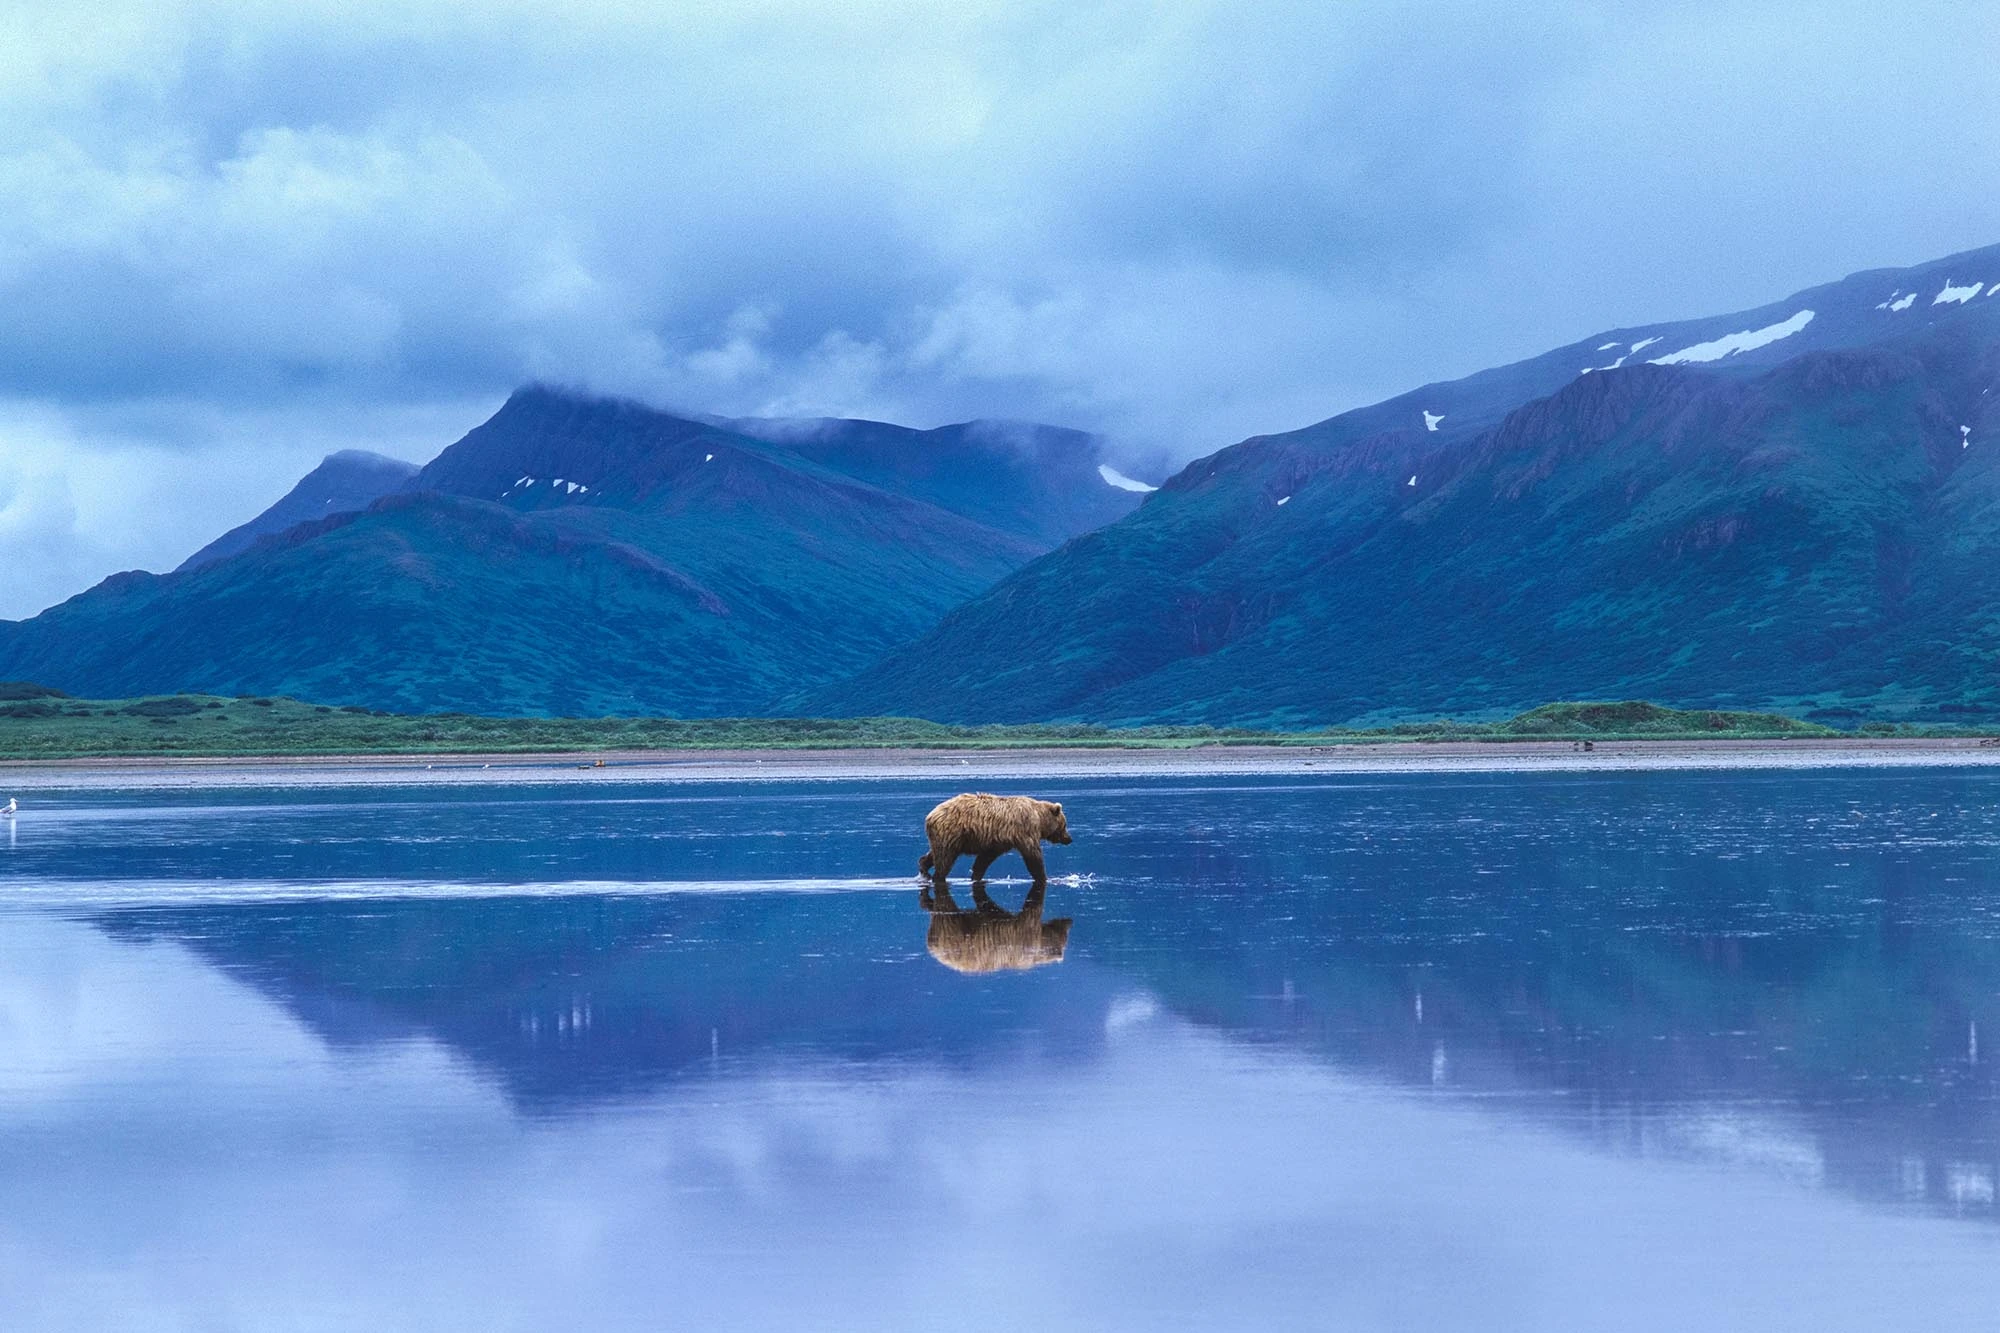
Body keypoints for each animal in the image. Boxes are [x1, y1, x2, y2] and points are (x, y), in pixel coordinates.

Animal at [917, 792, 1071, 883]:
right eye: (1064, 825)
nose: (1069, 838)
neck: (1040, 819)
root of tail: (930, 815)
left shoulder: (998, 841)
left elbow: (984, 859)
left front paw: (976, 876)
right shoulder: (1025, 830)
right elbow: (1033, 855)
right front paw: (1045, 877)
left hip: (947, 837)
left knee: (935, 853)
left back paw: (924, 868)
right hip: (951, 832)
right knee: (944, 859)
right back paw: (937, 877)